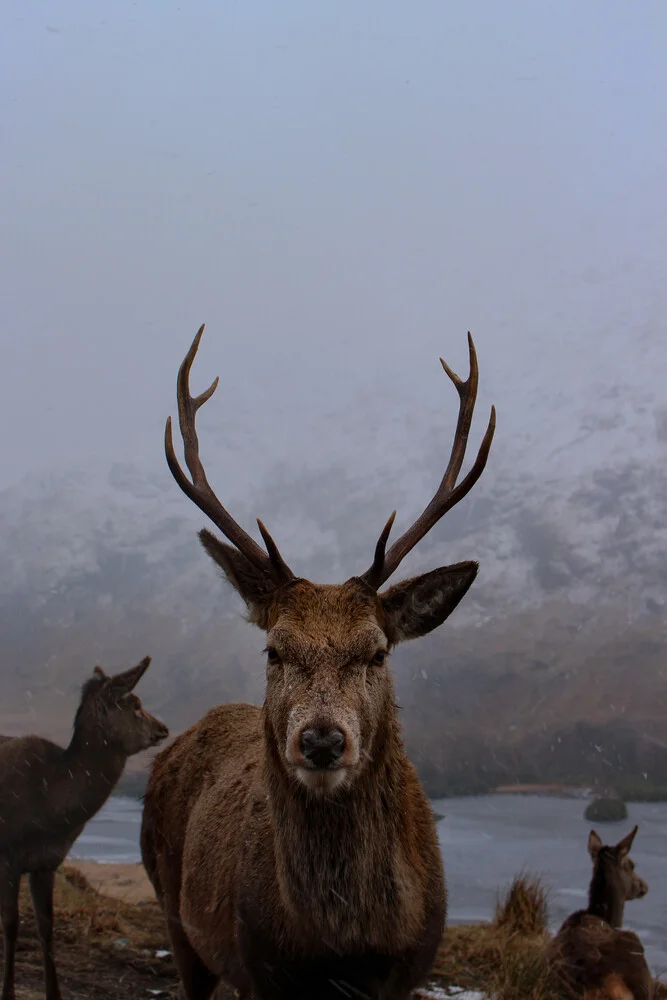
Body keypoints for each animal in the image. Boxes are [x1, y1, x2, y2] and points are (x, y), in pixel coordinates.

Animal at [0, 656, 167, 1000]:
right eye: (134, 703)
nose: (163, 728)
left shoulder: (46, 863)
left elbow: (46, 926)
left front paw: (55, 993)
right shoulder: (7, 856)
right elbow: (10, 924)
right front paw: (6, 991)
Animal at [141, 324, 496, 996]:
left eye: (378, 651)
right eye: (273, 649)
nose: (323, 741)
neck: (343, 950)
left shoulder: (411, 970)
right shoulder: (256, 964)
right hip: (174, 909)